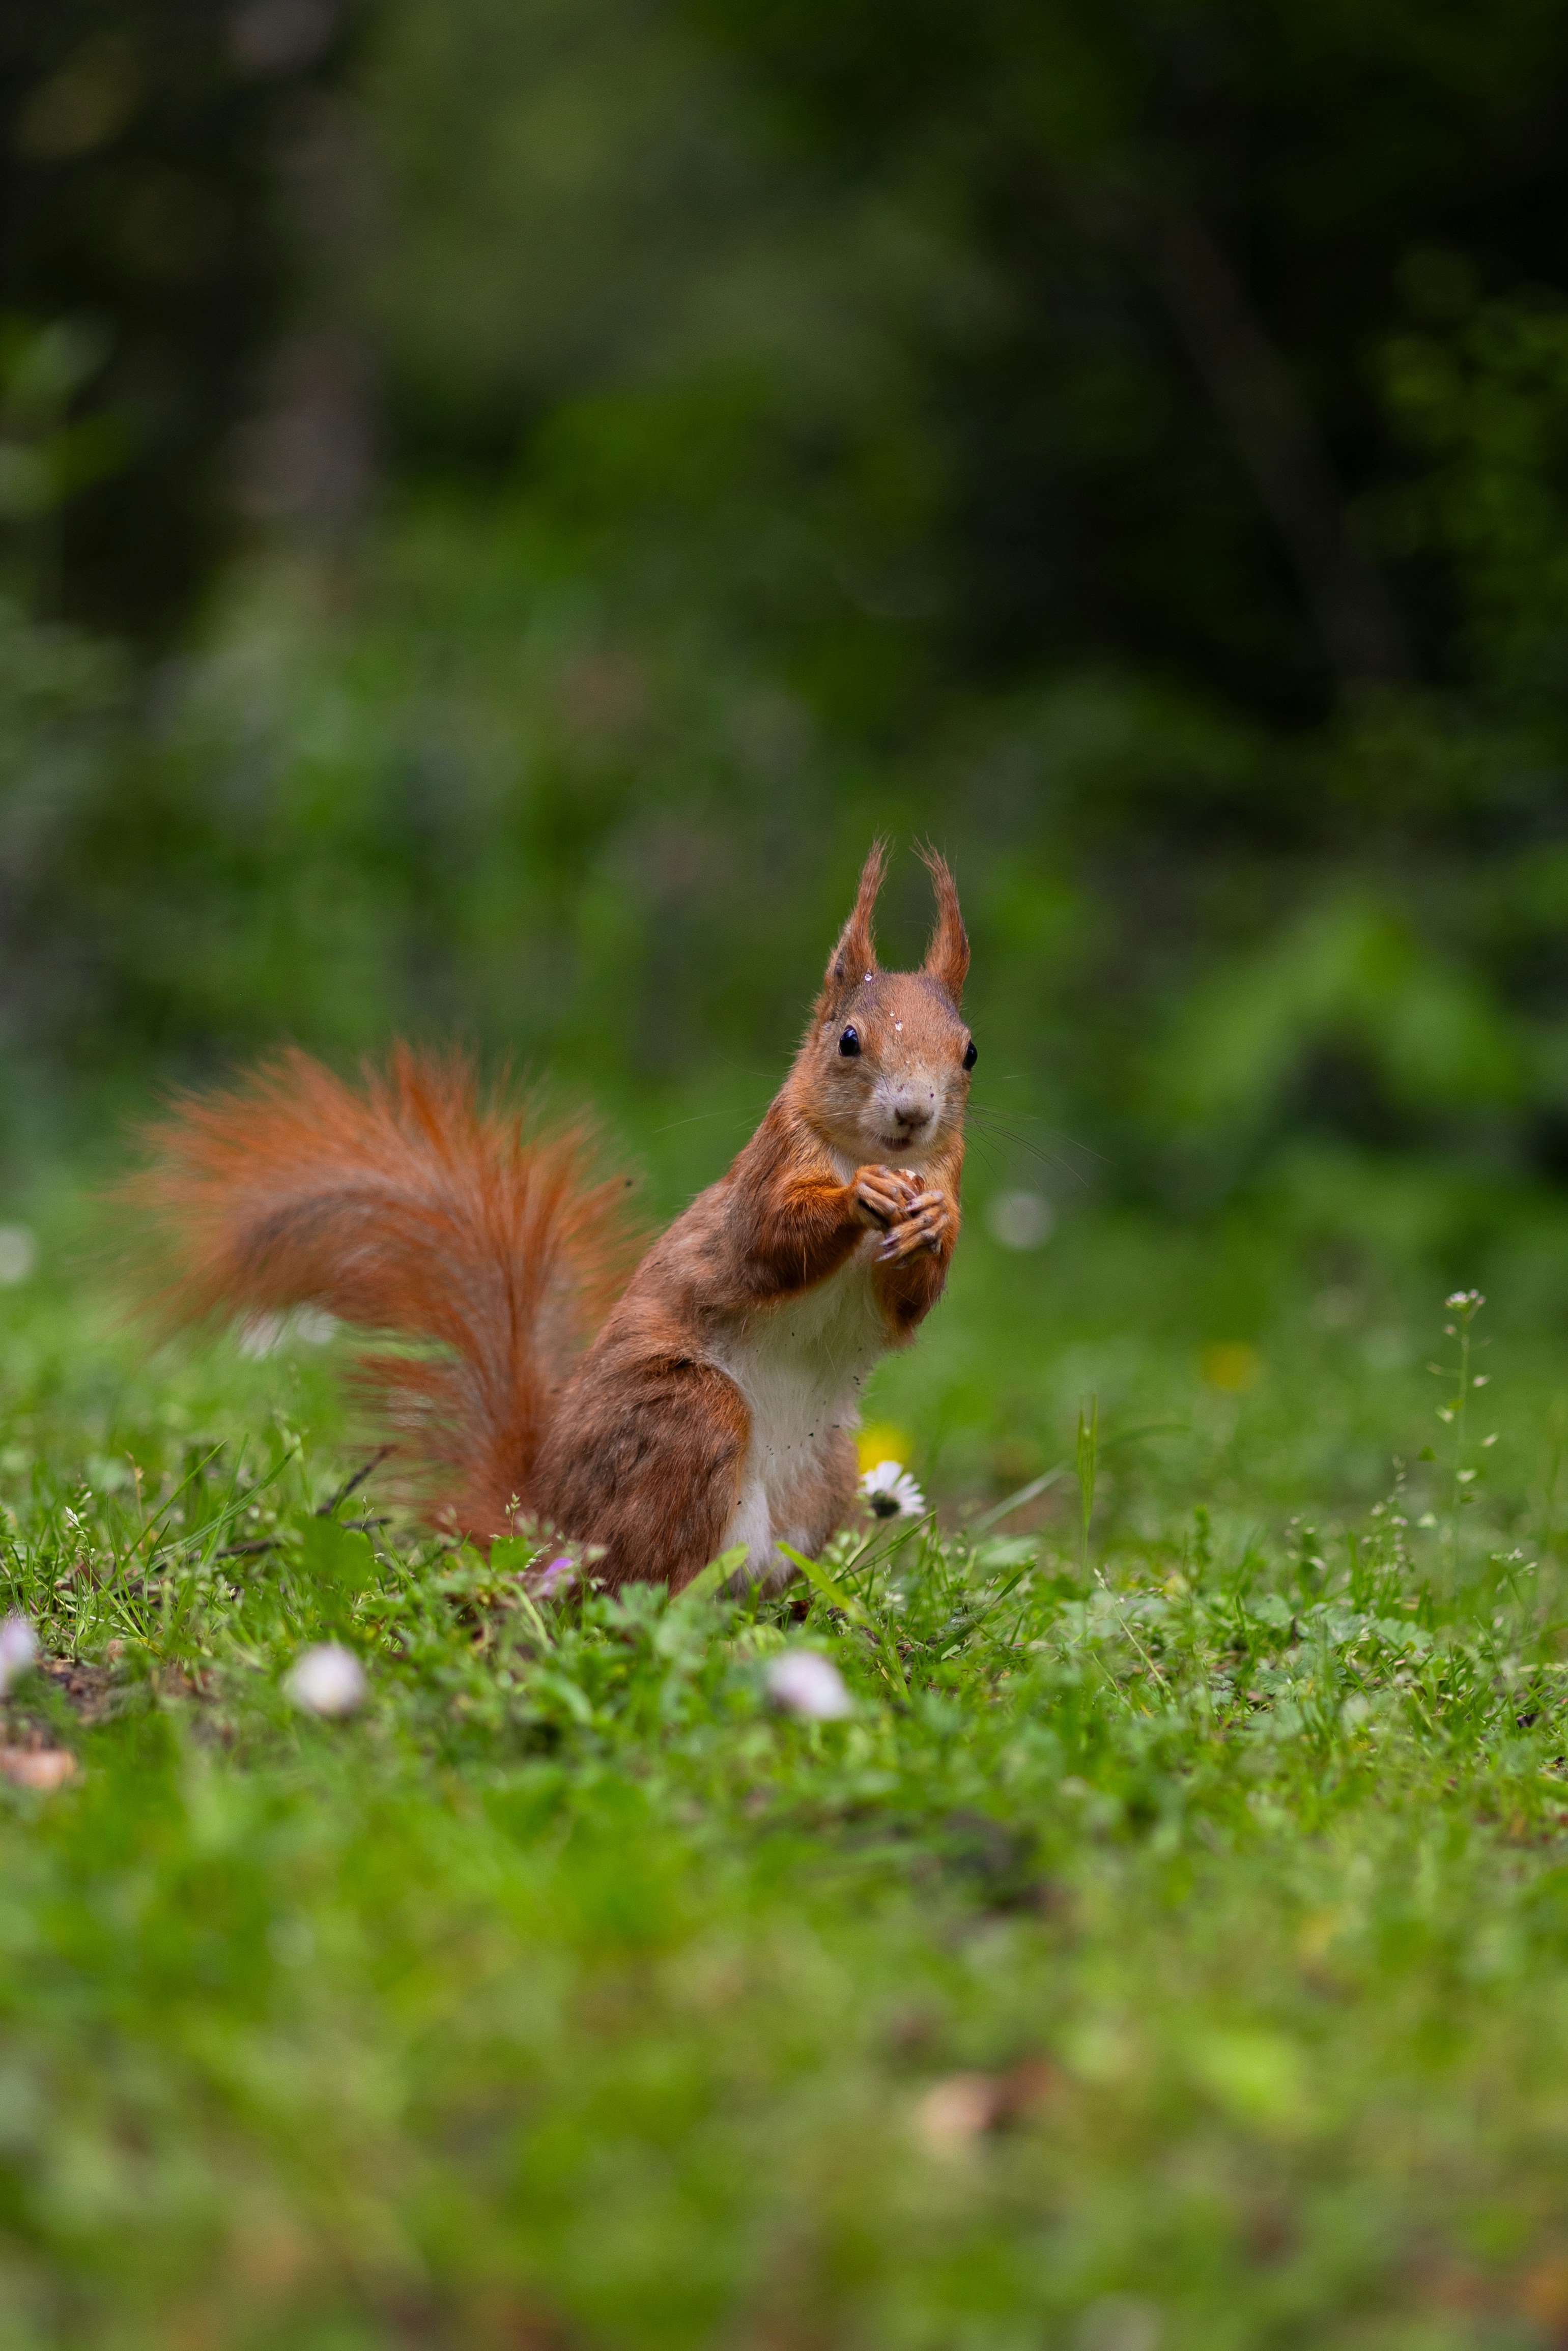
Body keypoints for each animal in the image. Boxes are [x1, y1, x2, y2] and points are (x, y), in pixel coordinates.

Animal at [130, 840, 974, 1593]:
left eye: (968, 1053)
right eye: (849, 1041)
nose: (912, 1114)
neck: (863, 1149)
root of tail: (544, 1516)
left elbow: (908, 1305)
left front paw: (934, 1222)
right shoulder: (764, 1178)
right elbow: (769, 1245)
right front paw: (859, 1196)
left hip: (826, 1470)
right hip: (689, 1420)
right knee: (640, 1579)